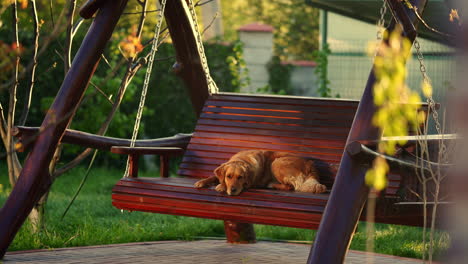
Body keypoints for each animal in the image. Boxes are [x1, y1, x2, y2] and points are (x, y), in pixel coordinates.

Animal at [194, 150, 326, 195]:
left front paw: (221, 186)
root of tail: (309, 163)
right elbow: (214, 176)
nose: (233, 190)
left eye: (240, 177)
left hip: (276, 163)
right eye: (229, 176)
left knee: (292, 186)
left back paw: (272, 185)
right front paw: (202, 181)